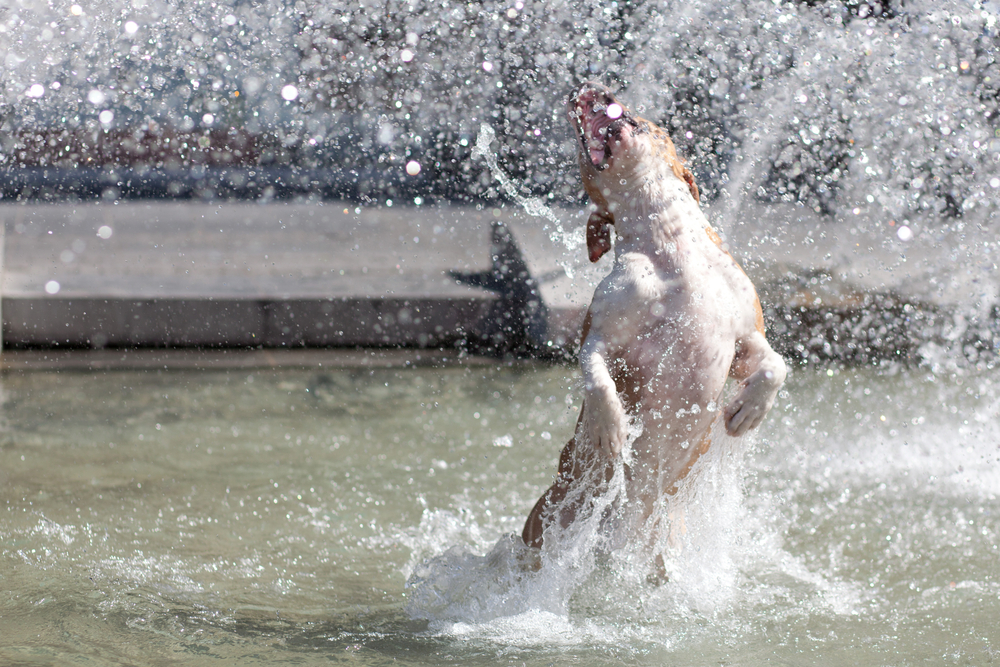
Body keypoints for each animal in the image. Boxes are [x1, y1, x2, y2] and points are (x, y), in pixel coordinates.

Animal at [520, 82, 784, 564]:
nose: (587, 86)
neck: (671, 246)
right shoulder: (600, 334)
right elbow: (596, 377)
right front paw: (611, 427)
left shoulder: (744, 337)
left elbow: (775, 365)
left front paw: (749, 411)